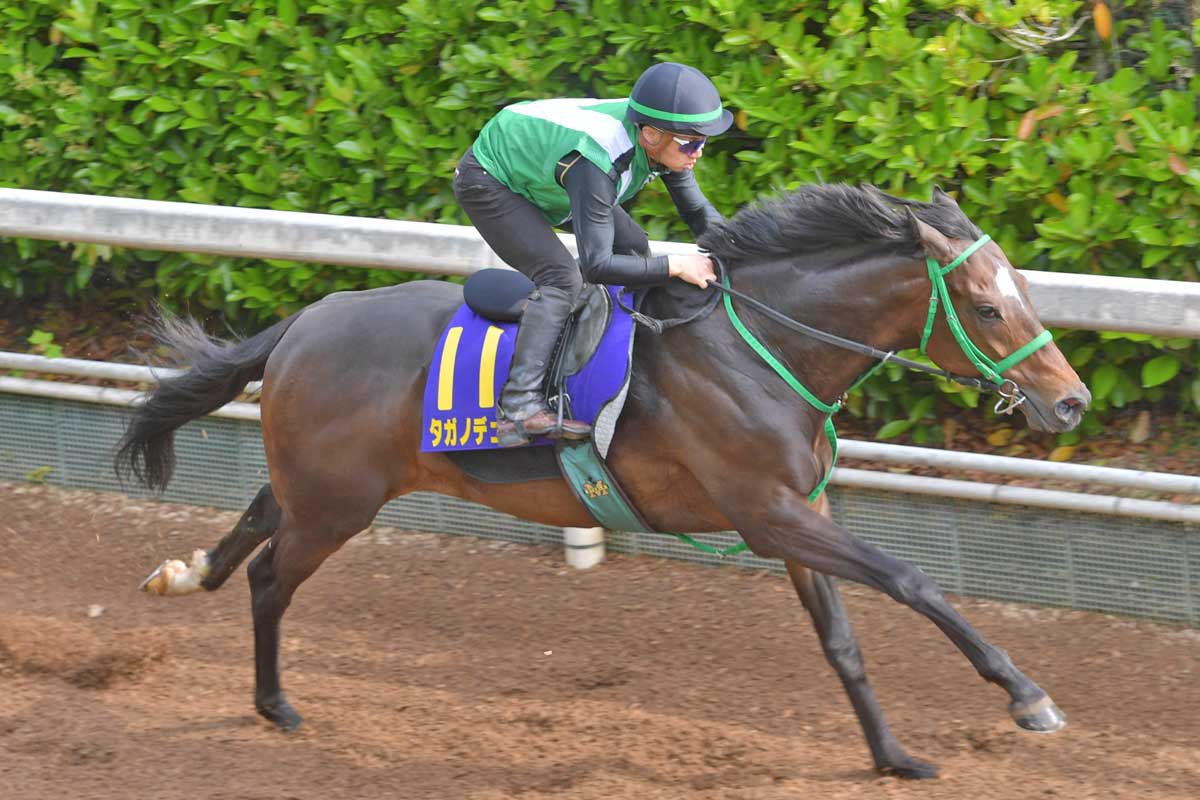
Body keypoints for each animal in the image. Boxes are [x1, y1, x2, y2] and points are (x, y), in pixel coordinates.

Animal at [116, 184, 1089, 779]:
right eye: (990, 308)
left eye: (1026, 289)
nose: (1072, 401)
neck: (757, 348)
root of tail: (300, 324)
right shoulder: (769, 514)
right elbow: (911, 579)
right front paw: (1028, 698)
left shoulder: (795, 514)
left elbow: (842, 642)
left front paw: (892, 756)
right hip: (339, 505)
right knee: (271, 577)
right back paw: (275, 704)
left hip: (322, 485)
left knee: (256, 522)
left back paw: (183, 574)